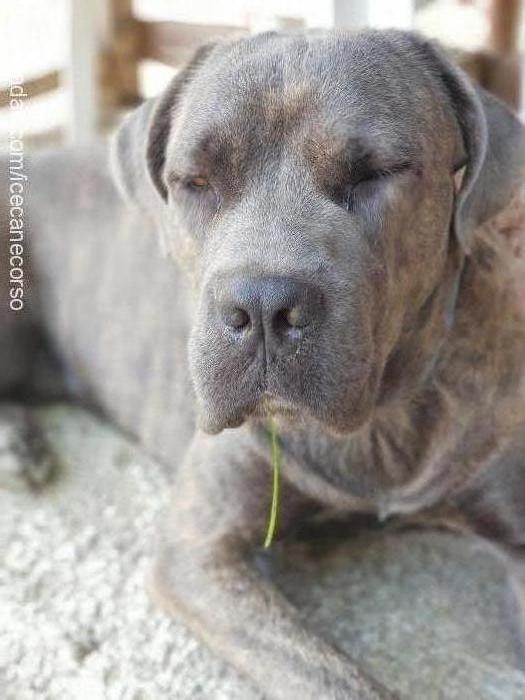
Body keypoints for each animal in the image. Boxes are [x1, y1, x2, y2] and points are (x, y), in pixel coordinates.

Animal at [1, 28, 524, 700]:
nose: (262, 305)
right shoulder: (197, 549)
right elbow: (327, 676)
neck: (381, 425)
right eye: (195, 180)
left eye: (376, 173)